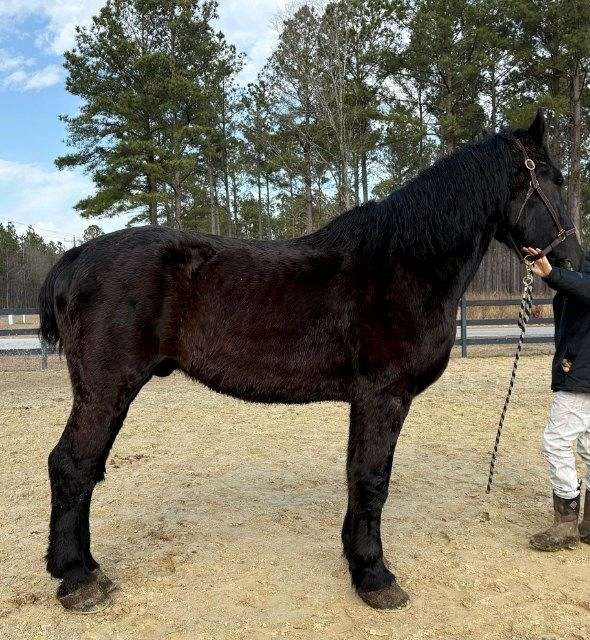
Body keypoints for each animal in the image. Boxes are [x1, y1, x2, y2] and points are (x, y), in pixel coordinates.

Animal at [39, 110, 580, 608]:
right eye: (554, 178)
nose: (570, 258)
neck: (406, 263)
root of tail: (75, 258)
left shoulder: (368, 401)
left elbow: (358, 476)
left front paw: (356, 559)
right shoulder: (383, 396)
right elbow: (372, 479)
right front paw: (375, 576)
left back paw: (85, 567)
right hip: (106, 390)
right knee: (72, 465)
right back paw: (77, 579)